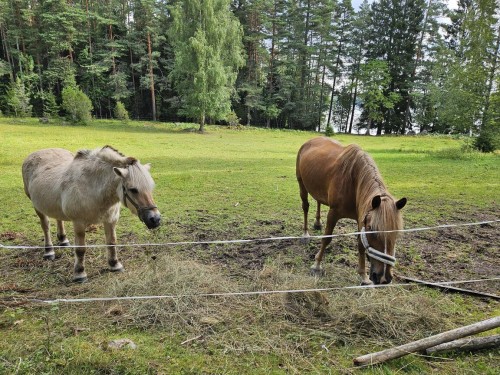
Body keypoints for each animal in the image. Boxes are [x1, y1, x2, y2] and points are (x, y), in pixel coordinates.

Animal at [22, 145, 160, 284]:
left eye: (150, 187)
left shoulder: (110, 221)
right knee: (45, 226)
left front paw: (114, 264)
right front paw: (80, 273)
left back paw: (63, 240)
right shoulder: (79, 223)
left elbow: (112, 242)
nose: (155, 219)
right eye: (133, 189)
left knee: (58, 219)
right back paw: (49, 251)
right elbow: (80, 249)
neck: (92, 187)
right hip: (37, 207)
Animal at [296, 138, 406, 284]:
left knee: (319, 201)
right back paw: (305, 234)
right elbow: (327, 239)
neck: (353, 182)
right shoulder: (334, 213)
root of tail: (310, 141)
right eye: (372, 230)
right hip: (301, 184)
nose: (383, 278)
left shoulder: (361, 218)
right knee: (305, 206)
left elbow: (361, 245)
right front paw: (317, 265)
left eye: (396, 233)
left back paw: (318, 223)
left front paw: (363, 276)